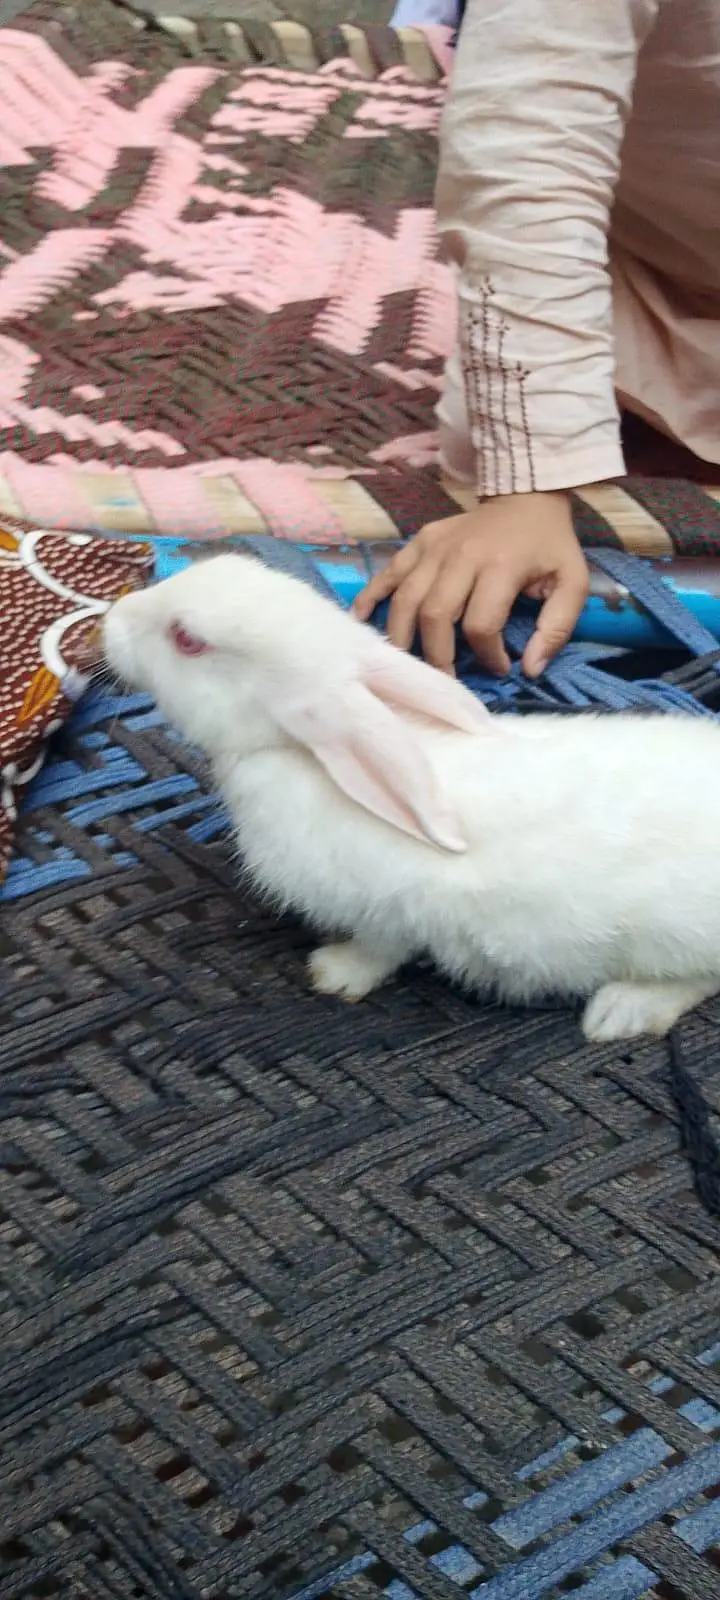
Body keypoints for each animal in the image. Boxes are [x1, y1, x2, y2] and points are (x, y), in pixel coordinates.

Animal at [103, 551, 720, 1043]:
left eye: (187, 640)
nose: (111, 620)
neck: (305, 757)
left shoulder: (392, 911)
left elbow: (379, 950)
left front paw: (333, 972)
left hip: (670, 938)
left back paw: (621, 1011)